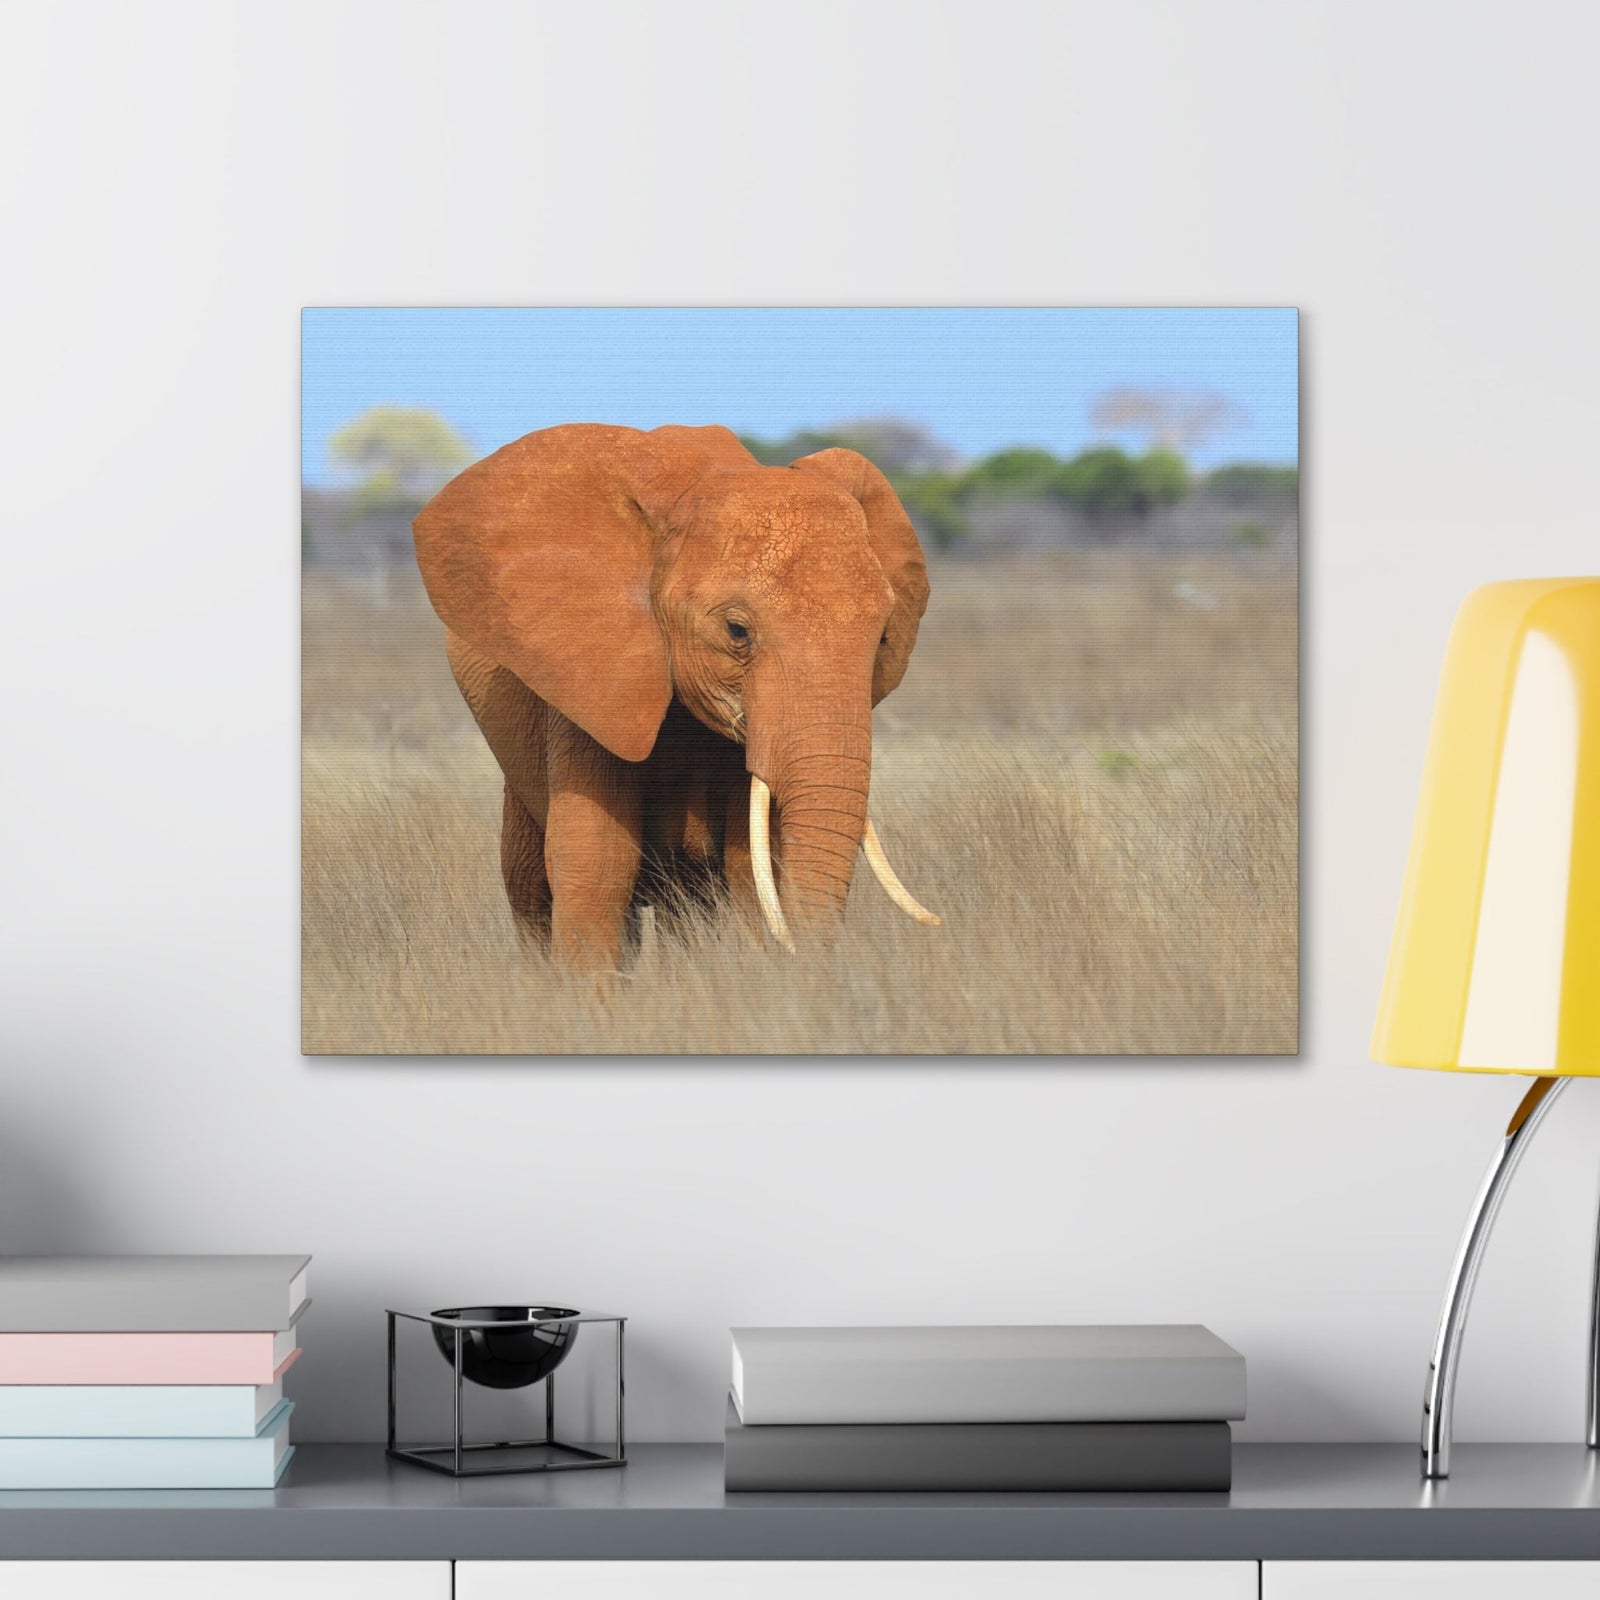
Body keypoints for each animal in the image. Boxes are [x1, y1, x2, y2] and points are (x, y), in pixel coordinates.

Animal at [412, 422, 940, 970]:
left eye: (883, 638)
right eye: (736, 631)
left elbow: (751, 863)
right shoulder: (584, 678)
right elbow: (596, 861)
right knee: (531, 887)